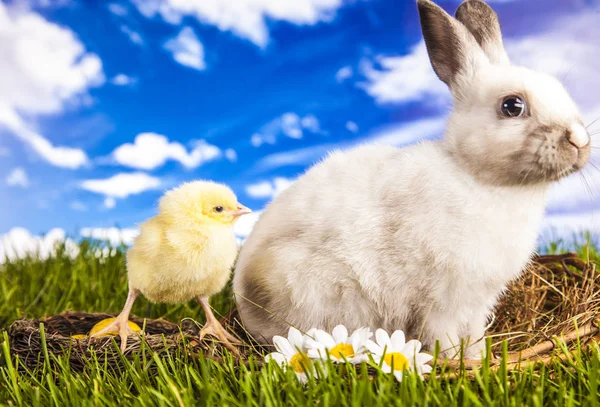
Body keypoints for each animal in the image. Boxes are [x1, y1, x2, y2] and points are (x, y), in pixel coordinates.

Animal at [233, 0, 592, 358]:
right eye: (512, 106)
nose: (579, 140)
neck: (474, 174)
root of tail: (243, 300)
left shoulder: (476, 304)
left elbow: (474, 334)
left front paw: (479, 359)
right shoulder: (442, 300)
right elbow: (444, 337)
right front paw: (459, 364)